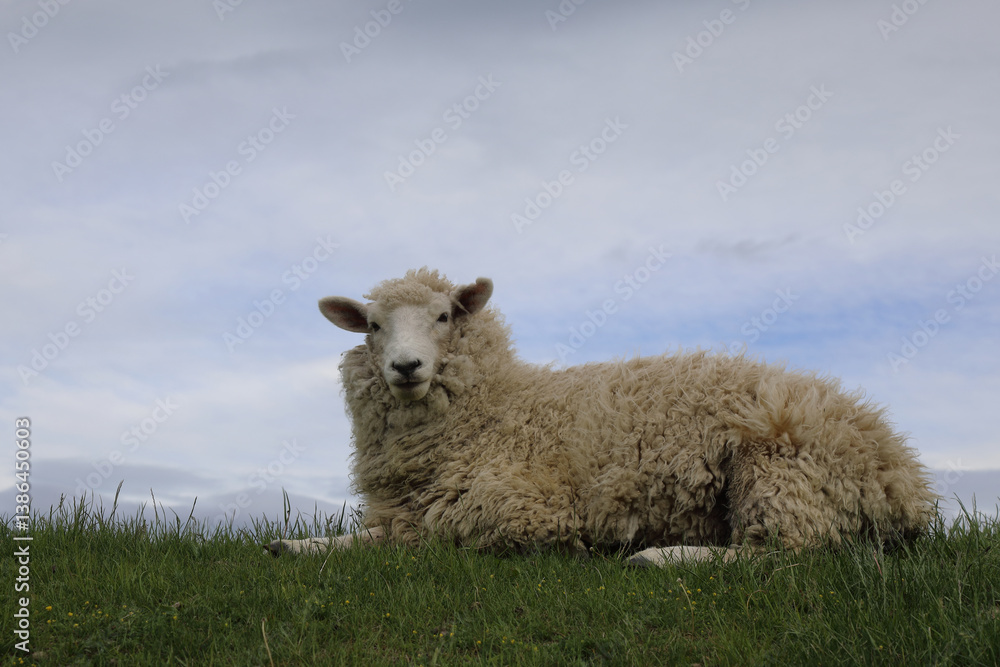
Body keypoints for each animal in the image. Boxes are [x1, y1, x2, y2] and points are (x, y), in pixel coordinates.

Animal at [267, 268, 937, 566]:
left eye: (444, 316)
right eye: (373, 325)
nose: (405, 367)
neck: (501, 405)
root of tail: (902, 476)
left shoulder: (522, 507)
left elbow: (433, 536)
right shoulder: (406, 506)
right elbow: (371, 537)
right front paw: (293, 544)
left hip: (780, 465)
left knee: (786, 552)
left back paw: (662, 556)